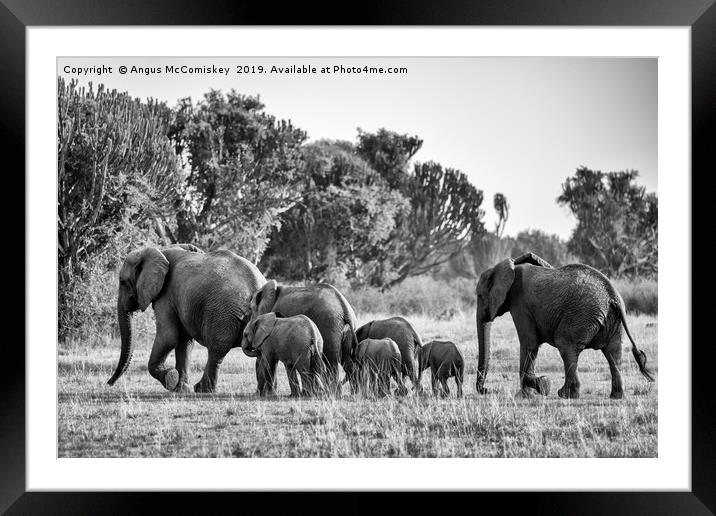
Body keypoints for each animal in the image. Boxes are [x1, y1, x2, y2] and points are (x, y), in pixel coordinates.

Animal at [110, 244, 268, 394]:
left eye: (122, 281)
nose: (109, 383)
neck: (159, 251)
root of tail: (255, 286)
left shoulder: (166, 295)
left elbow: (168, 337)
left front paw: (170, 378)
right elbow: (184, 341)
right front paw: (181, 389)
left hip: (223, 314)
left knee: (217, 349)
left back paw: (202, 389)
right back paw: (262, 391)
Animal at [476, 253, 656, 400]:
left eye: (479, 296)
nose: (485, 390)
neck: (509, 267)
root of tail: (613, 296)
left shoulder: (520, 303)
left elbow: (530, 343)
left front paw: (539, 387)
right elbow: (531, 345)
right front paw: (531, 392)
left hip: (581, 316)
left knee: (566, 346)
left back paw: (566, 394)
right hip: (613, 321)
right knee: (613, 353)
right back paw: (616, 397)